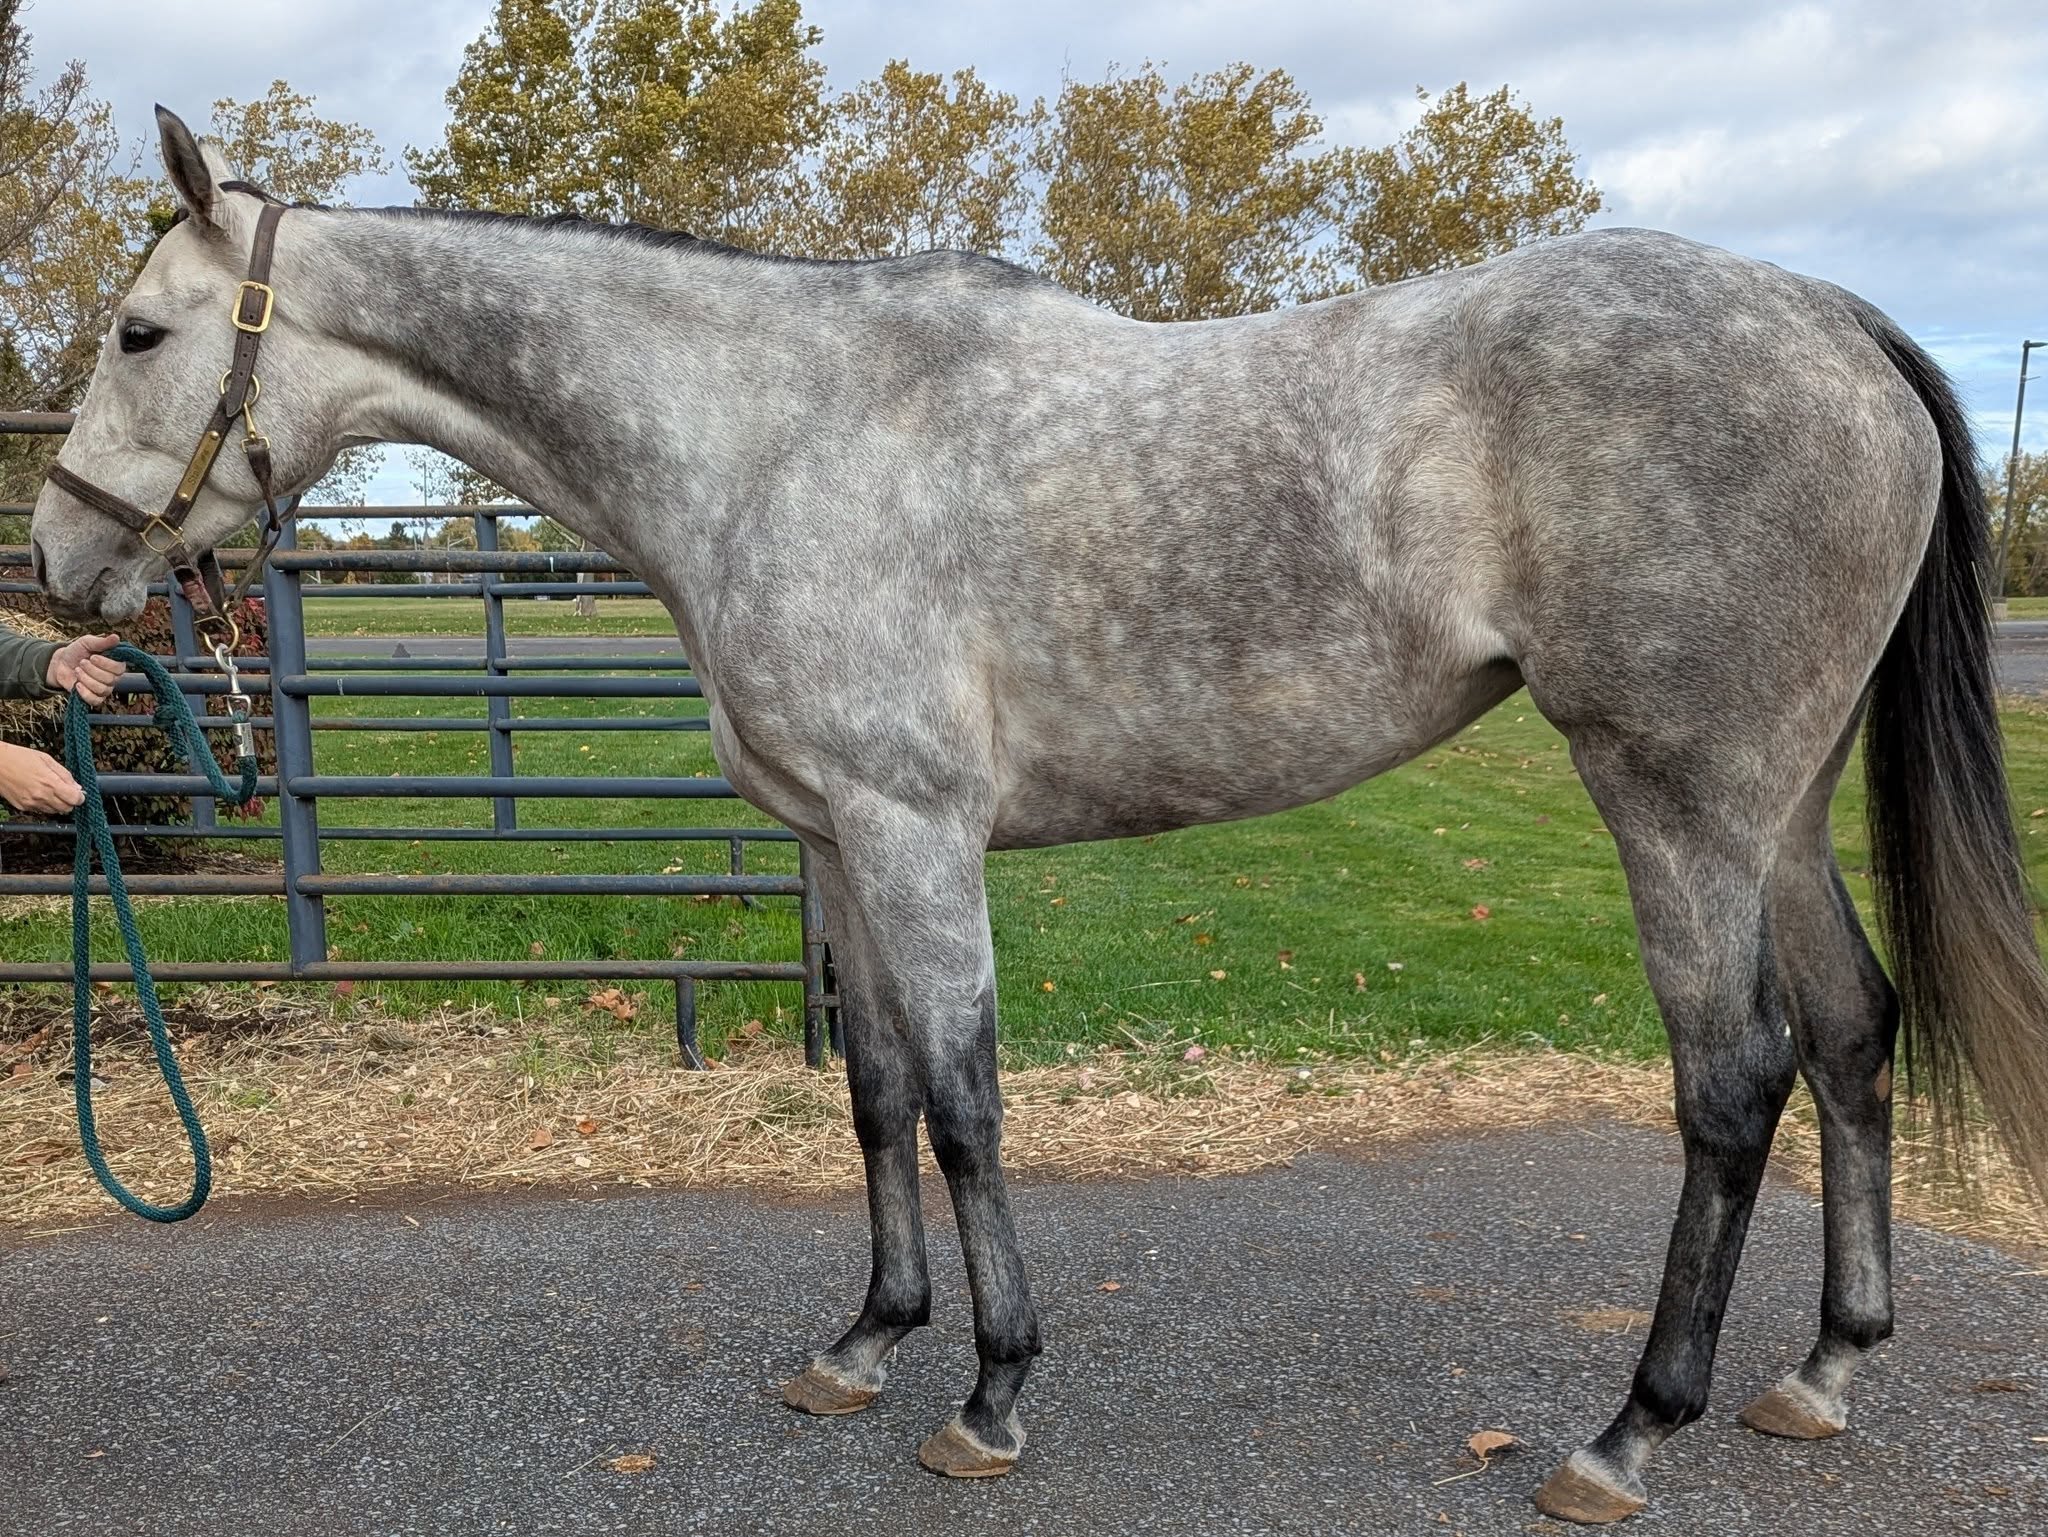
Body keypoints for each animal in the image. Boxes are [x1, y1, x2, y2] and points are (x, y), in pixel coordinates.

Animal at [29, 107, 2048, 1524]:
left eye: (138, 330)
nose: (55, 565)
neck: (772, 429)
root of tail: (1829, 316)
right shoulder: (835, 840)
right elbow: (875, 1095)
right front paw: (864, 1343)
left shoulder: (916, 829)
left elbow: (969, 1102)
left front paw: (991, 1396)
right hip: (1776, 801)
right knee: (1852, 1035)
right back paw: (1823, 1372)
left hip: (1671, 796)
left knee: (1736, 1079)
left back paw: (1629, 1430)